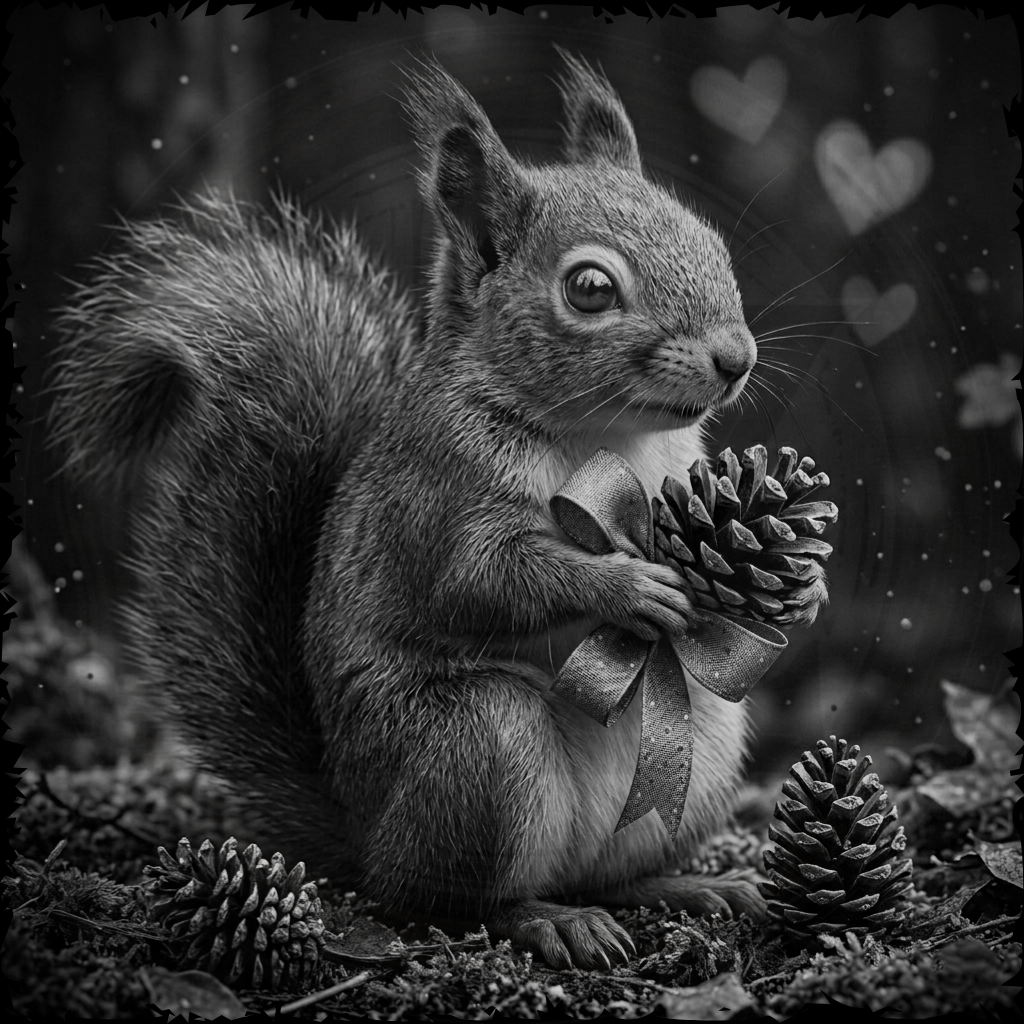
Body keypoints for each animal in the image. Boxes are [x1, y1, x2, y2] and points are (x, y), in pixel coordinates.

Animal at [49, 51, 784, 970]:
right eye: (589, 288)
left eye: (711, 240)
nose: (736, 358)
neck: (607, 438)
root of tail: (365, 834)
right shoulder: (437, 493)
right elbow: (481, 583)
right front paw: (625, 587)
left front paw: (796, 591)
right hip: (477, 744)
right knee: (444, 898)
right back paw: (546, 919)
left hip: (703, 744)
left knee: (608, 874)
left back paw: (685, 886)